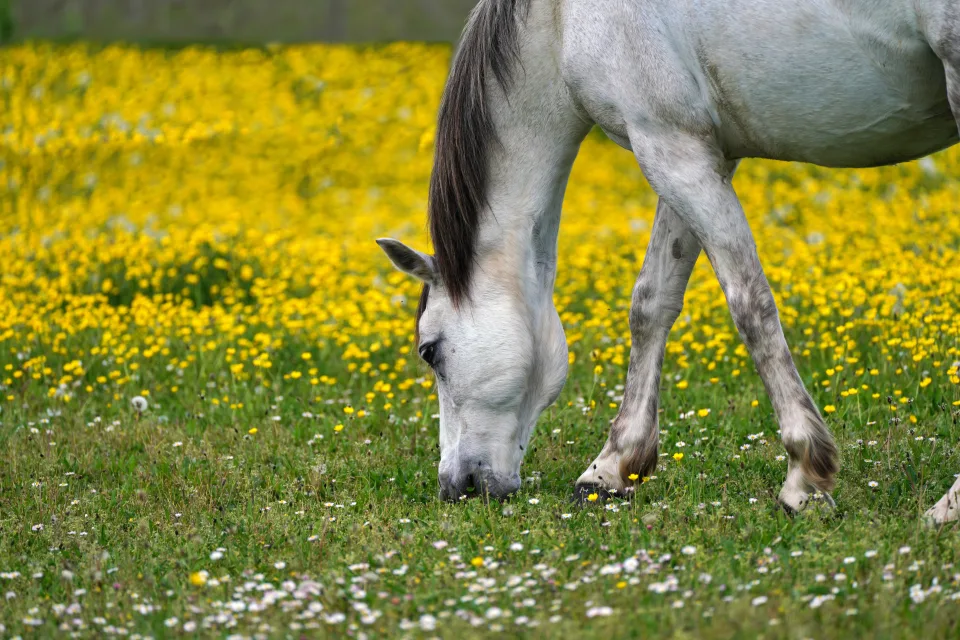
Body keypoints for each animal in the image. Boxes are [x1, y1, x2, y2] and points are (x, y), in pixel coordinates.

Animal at [377, 0, 960, 524]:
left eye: (429, 351)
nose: (456, 486)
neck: (560, 17)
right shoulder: (687, 150)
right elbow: (651, 304)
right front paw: (611, 470)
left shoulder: (669, 146)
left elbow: (749, 304)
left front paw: (804, 478)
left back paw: (945, 508)